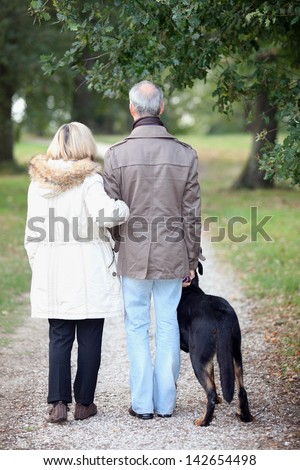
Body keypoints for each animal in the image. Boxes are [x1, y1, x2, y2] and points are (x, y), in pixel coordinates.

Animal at [177, 262, 254, 428]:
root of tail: (222, 316)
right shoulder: (210, 358)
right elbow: (213, 377)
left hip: (197, 358)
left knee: (210, 393)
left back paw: (204, 421)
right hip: (235, 354)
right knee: (242, 390)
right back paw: (245, 416)